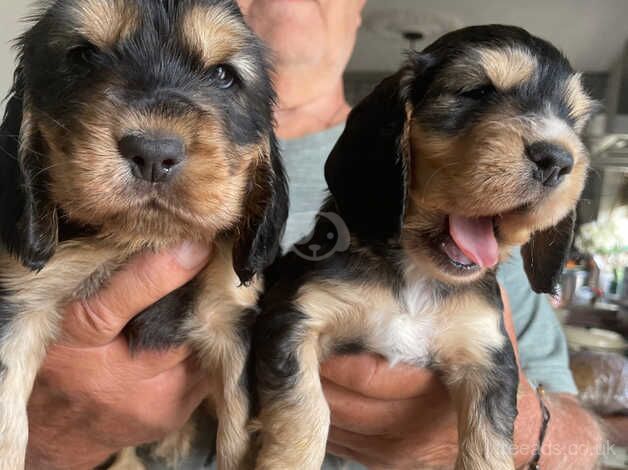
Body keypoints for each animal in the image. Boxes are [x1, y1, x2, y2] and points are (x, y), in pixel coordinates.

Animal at [0, 0, 288, 470]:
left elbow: (236, 424)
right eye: (84, 56)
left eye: (223, 75)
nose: (154, 153)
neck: (138, 239)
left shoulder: (230, 316)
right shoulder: (21, 300)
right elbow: (8, 421)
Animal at [253, 23, 592, 470]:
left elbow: (489, 444)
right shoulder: (294, 319)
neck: (416, 273)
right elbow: (306, 410)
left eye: (573, 120)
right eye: (478, 91)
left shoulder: (489, 357)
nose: (557, 160)